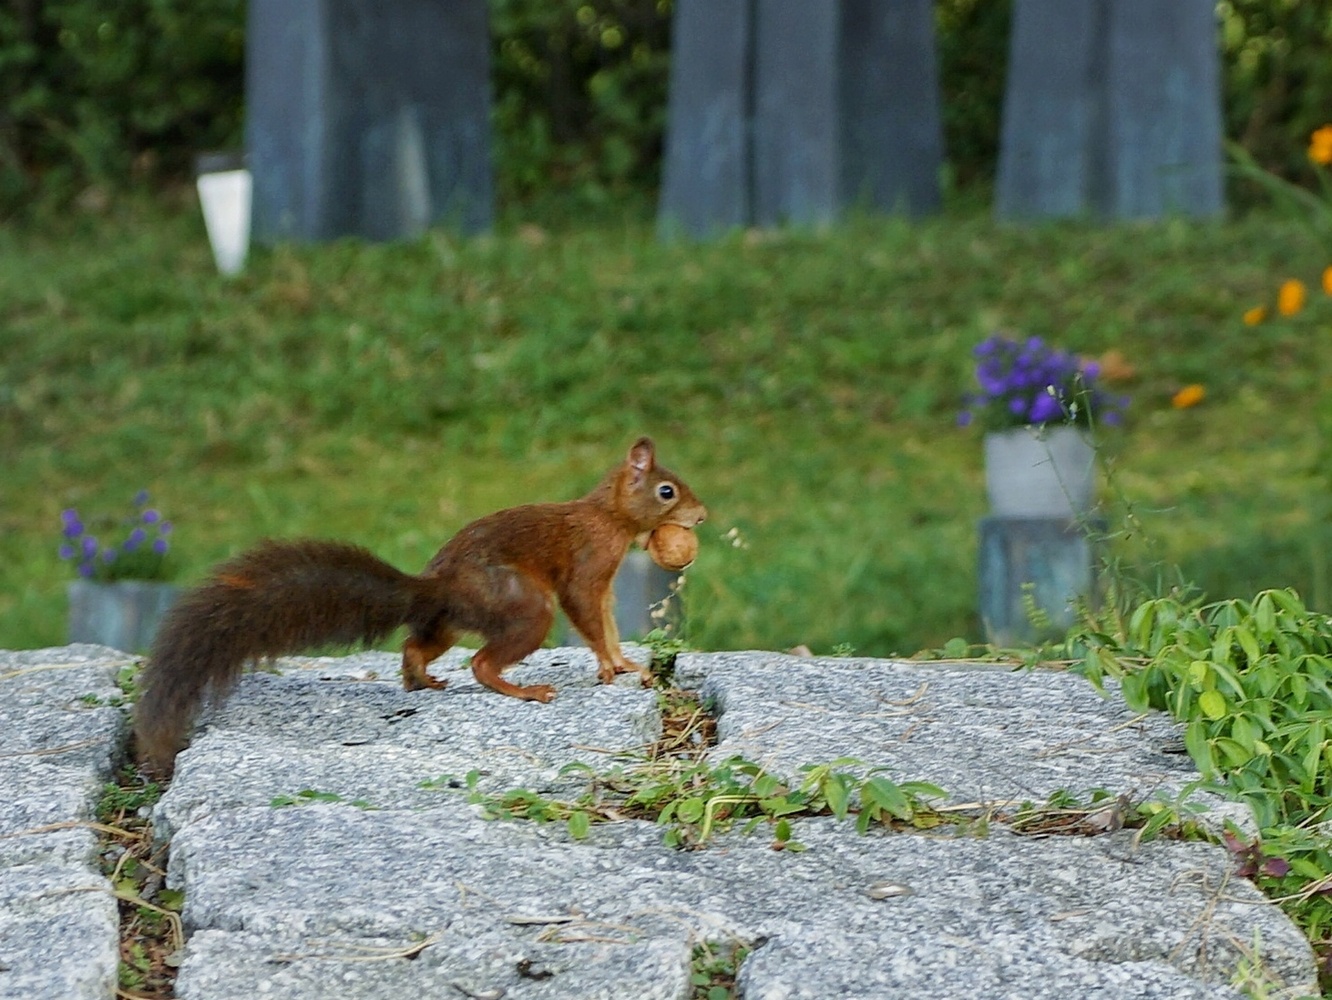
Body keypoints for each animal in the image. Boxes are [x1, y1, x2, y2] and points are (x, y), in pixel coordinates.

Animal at [135, 436, 708, 772]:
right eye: (666, 491)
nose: (701, 516)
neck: (608, 516)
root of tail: (438, 587)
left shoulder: (608, 584)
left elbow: (607, 623)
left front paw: (624, 663)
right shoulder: (587, 570)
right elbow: (588, 615)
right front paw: (610, 665)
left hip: (449, 625)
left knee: (417, 645)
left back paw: (420, 680)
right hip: (524, 607)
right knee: (482, 663)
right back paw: (522, 690)